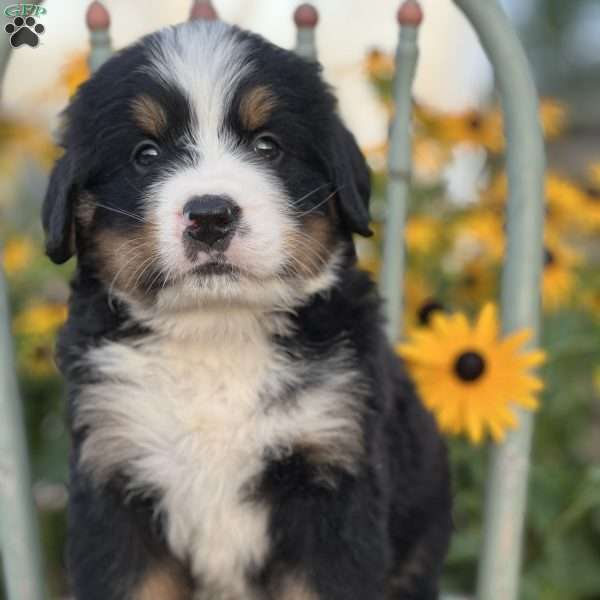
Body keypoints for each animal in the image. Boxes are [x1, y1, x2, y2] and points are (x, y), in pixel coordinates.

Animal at [42, 18, 450, 600]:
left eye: (267, 145)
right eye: (146, 154)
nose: (210, 216)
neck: (218, 332)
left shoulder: (332, 480)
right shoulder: (115, 477)